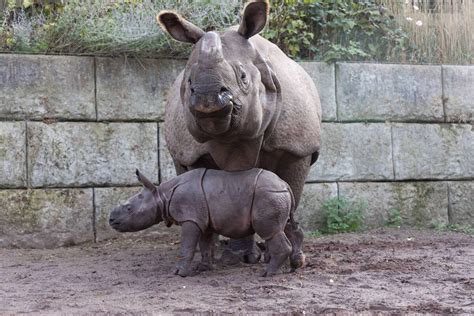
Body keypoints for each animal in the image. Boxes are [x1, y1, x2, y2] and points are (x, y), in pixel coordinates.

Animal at [109, 168, 306, 276]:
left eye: (128, 208)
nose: (111, 219)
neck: (161, 195)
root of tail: (284, 184)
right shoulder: (201, 220)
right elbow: (204, 245)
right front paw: (203, 268)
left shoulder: (190, 218)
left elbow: (187, 246)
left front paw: (178, 273)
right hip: (276, 195)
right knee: (287, 226)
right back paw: (295, 266)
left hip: (268, 195)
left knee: (270, 231)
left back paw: (267, 274)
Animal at [157, 0, 320, 260]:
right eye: (189, 82)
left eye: (243, 77)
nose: (207, 99)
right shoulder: (194, 152)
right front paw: (234, 256)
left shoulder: (297, 147)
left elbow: (289, 195)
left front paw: (293, 257)